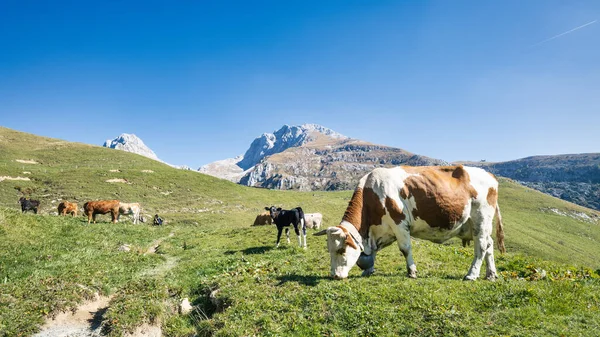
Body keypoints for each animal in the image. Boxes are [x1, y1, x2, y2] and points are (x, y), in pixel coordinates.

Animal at [316, 164, 504, 280]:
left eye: (341, 250)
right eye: (329, 250)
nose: (334, 275)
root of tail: (490, 175)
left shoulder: (399, 223)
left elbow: (405, 249)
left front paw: (412, 272)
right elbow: (371, 254)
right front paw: (368, 271)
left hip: (481, 218)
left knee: (481, 247)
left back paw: (472, 275)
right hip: (476, 225)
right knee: (489, 245)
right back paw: (491, 274)